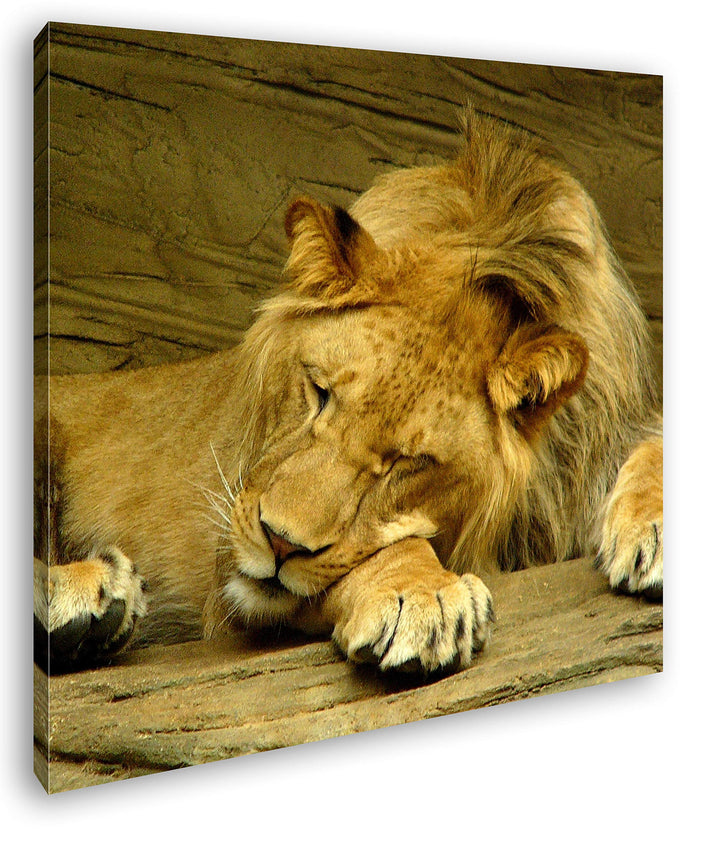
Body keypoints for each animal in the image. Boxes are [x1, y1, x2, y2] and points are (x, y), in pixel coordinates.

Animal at [34, 111, 663, 676]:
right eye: (318, 392)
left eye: (408, 463)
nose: (280, 543)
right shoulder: (226, 566)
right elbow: (378, 553)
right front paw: (422, 594)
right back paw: (89, 595)